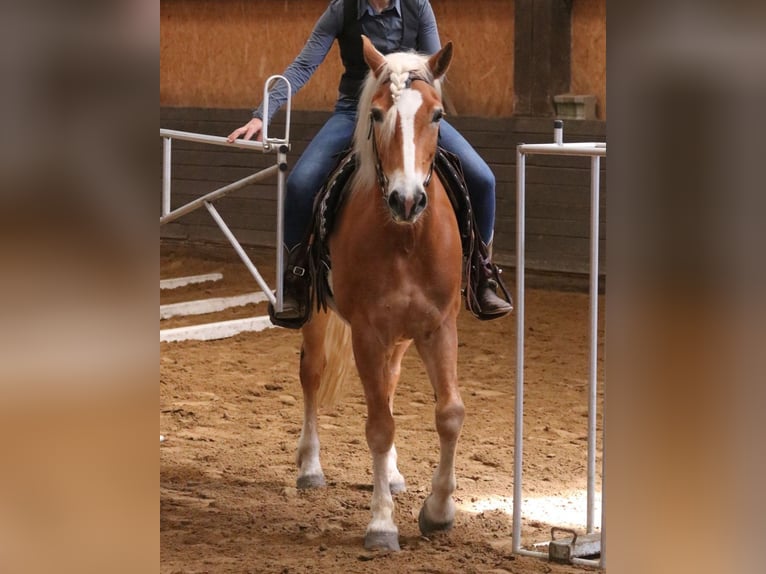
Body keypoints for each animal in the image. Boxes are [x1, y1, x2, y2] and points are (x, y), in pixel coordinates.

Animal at [295, 36, 464, 552]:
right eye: (376, 113)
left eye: (437, 115)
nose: (406, 200)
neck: (404, 237)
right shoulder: (366, 333)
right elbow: (378, 425)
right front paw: (382, 525)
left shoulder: (437, 326)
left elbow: (449, 413)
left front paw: (438, 512)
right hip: (318, 318)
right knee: (312, 375)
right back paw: (310, 466)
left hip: (401, 337)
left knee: (388, 387)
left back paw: (390, 475)